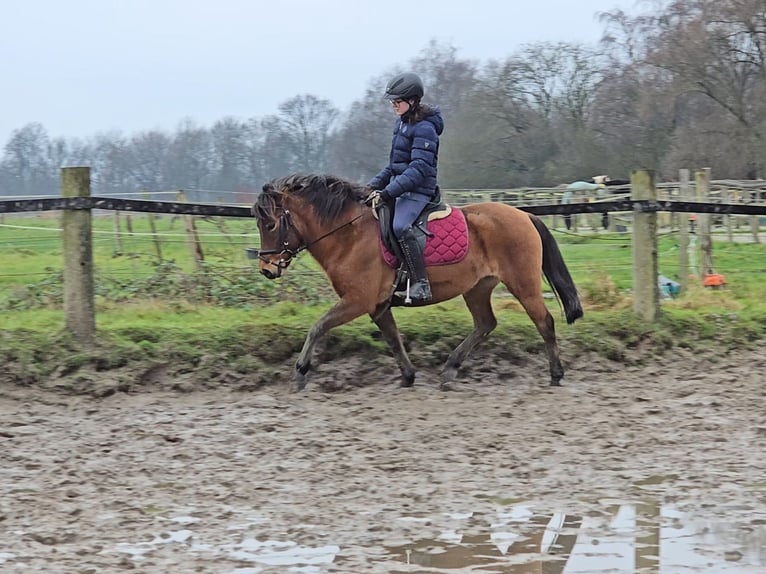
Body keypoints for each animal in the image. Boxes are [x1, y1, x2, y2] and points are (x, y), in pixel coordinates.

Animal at [252, 174, 584, 392]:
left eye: (270, 224)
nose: (267, 269)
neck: (349, 235)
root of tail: (524, 215)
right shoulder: (377, 305)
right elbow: (393, 339)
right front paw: (408, 375)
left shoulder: (357, 300)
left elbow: (318, 327)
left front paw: (300, 373)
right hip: (477, 288)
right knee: (485, 324)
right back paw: (450, 369)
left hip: (522, 283)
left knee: (544, 322)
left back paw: (556, 374)